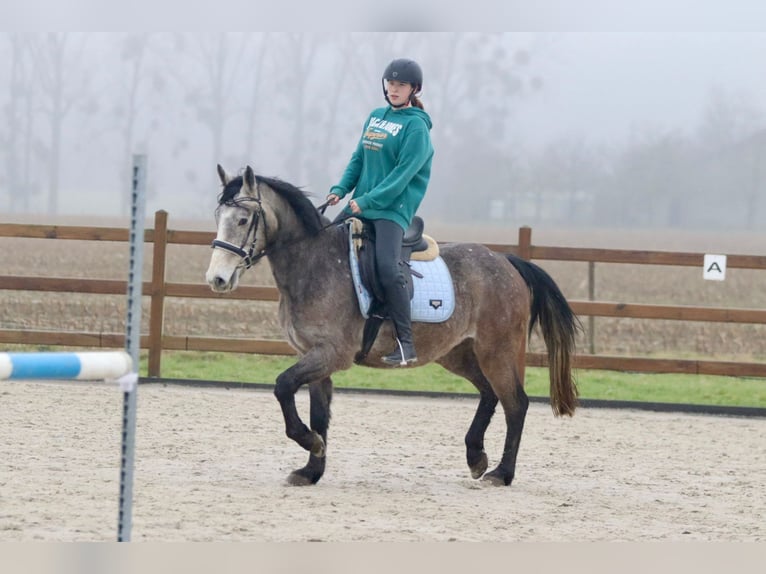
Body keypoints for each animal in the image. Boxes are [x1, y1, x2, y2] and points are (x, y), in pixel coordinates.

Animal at [207, 164, 580, 488]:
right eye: (217, 218)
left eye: (243, 219)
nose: (217, 279)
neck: (313, 264)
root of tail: (507, 261)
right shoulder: (313, 356)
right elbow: (318, 413)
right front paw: (311, 469)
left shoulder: (331, 354)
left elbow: (283, 386)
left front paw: (309, 443)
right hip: (458, 353)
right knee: (489, 393)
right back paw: (476, 457)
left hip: (496, 351)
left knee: (515, 404)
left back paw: (502, 473)